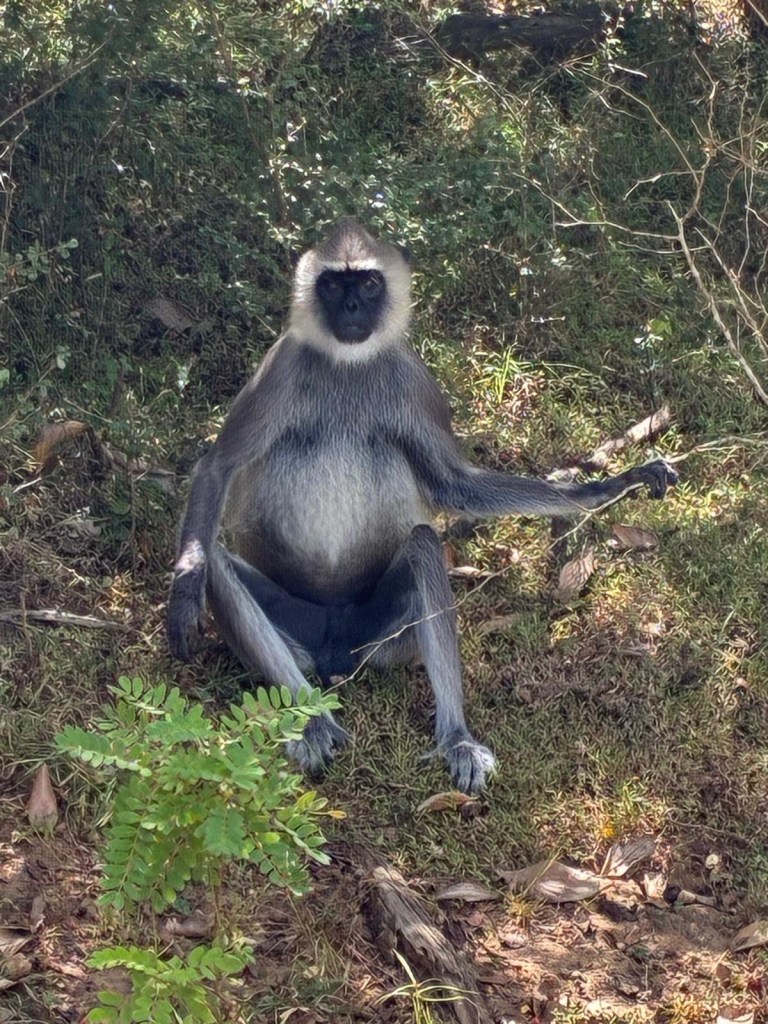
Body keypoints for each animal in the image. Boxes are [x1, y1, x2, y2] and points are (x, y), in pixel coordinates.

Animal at [167, 219, 677, 794]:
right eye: (332, 285)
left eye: (368, 284)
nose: (350, 308)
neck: (349, 367)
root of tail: (334, 651)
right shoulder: (281, 366)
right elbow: (218, 467)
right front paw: (183, 592)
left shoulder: (414, 380)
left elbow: (455, 487)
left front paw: (604, 489)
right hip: (301, 626)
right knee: (221, 563)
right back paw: (311, 719)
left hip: (382, 640)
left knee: (423, 543)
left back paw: (455, 737)